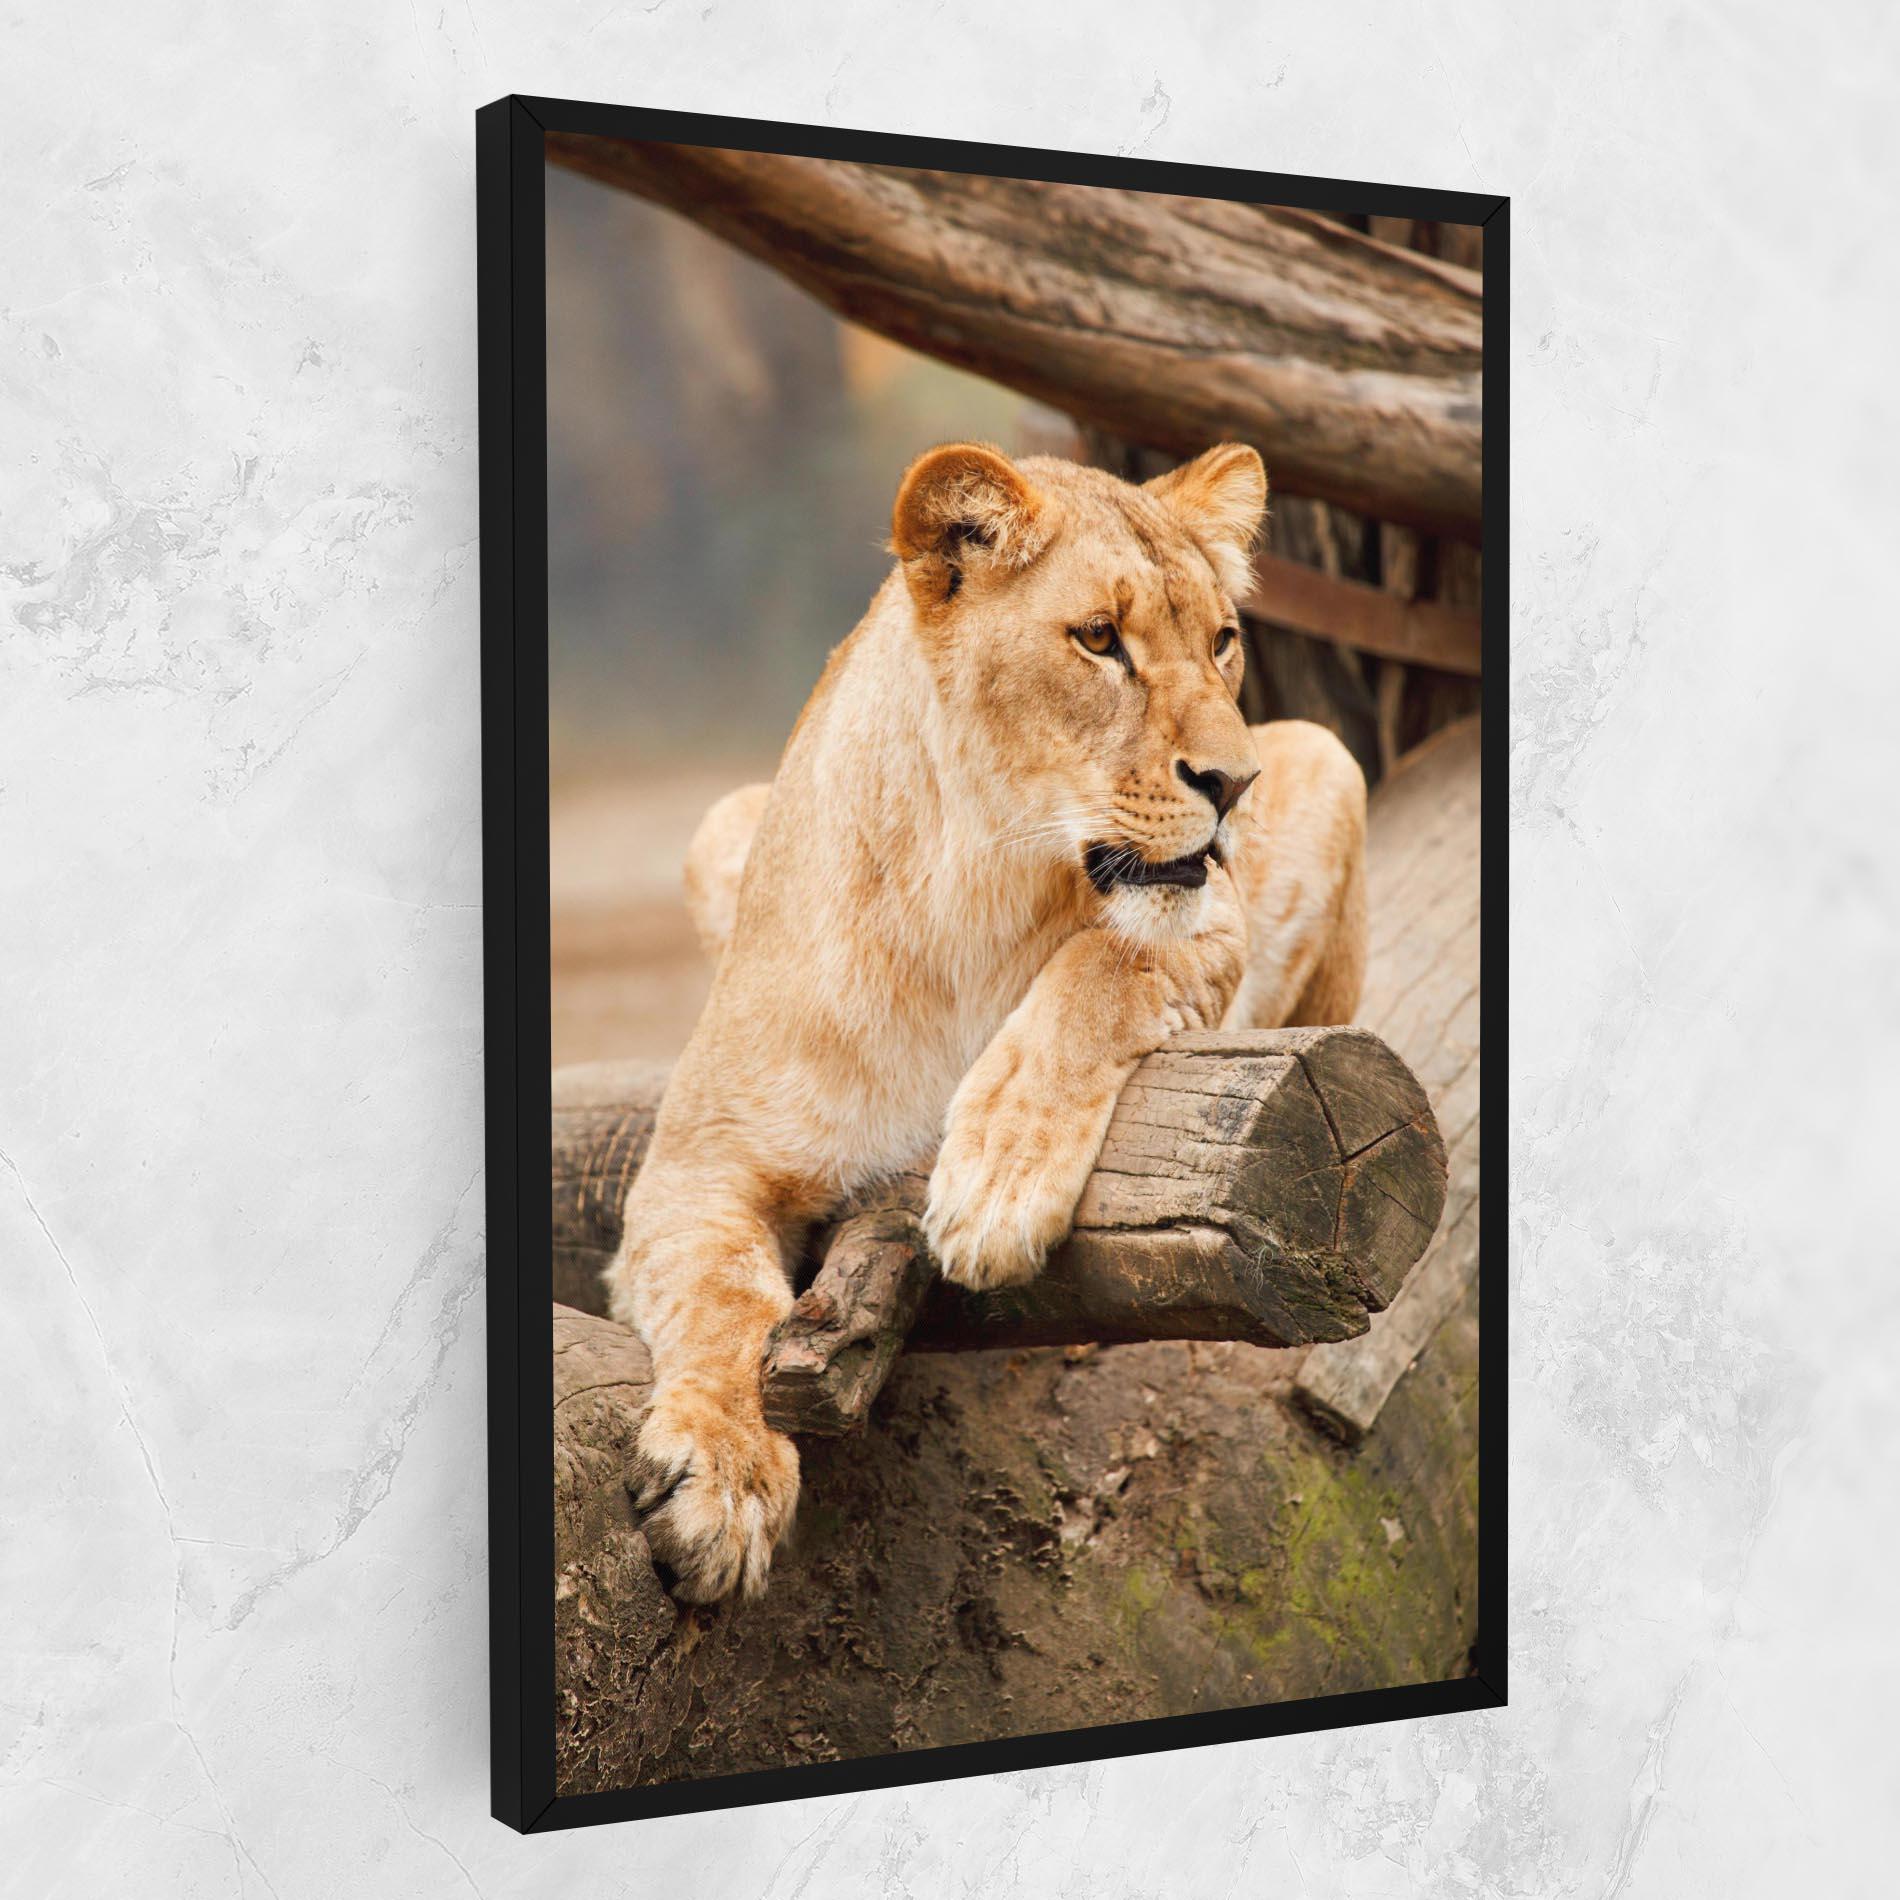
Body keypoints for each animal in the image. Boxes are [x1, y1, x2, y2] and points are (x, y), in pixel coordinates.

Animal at [603, 441, 1367, 1602]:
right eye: (1099, 639)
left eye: (1222, 641)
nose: (1236, 784)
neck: (970, 890)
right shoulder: (697, 1163)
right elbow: (720, 1298)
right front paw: (723, 1478)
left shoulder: (1207, 915)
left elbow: (1103, 961)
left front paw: (994, 1185)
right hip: (718, 824)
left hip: (1327, 754)